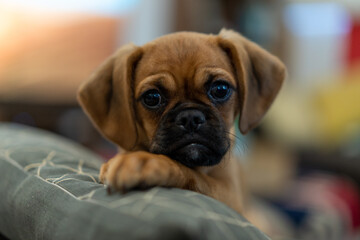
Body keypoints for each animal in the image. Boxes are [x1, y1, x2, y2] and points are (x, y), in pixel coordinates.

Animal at [77, 29, 286, 213]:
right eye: (152, 97)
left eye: (220, 89)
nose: (190, 117)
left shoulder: (229, 195)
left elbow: (191, 174)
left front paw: (149, 163)